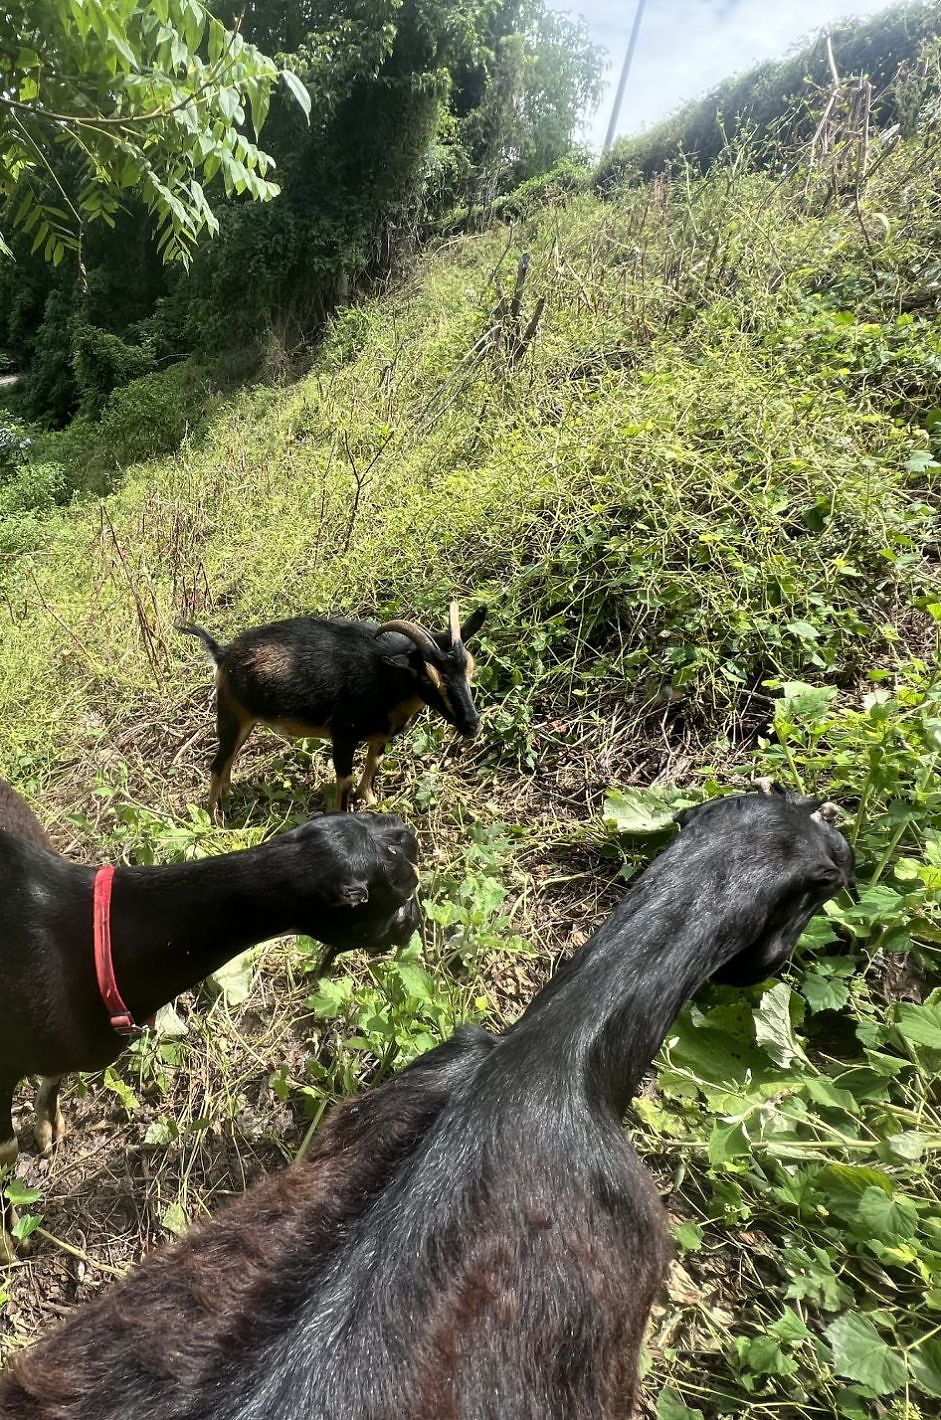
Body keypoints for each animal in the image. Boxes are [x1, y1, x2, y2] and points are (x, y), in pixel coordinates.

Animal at [0, 802, 420, 1234]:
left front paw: (48, 1123)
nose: (415, 923)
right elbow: (7, 1151)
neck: (93, 940)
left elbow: (53, 1074)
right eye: (402, 892)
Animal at [180, 601, 487, 817]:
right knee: (218, 764)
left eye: (470, 668)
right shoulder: (342, 733)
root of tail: (222, 654)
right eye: (428, 679)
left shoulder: (380, 735)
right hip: (231, 713)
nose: (472, 724)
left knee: (229, 760)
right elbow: (344, 780)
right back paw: (214, 817)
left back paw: (228, 797)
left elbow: (373, 764)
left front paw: (372, 801)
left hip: (245, 719)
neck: (385, 675)